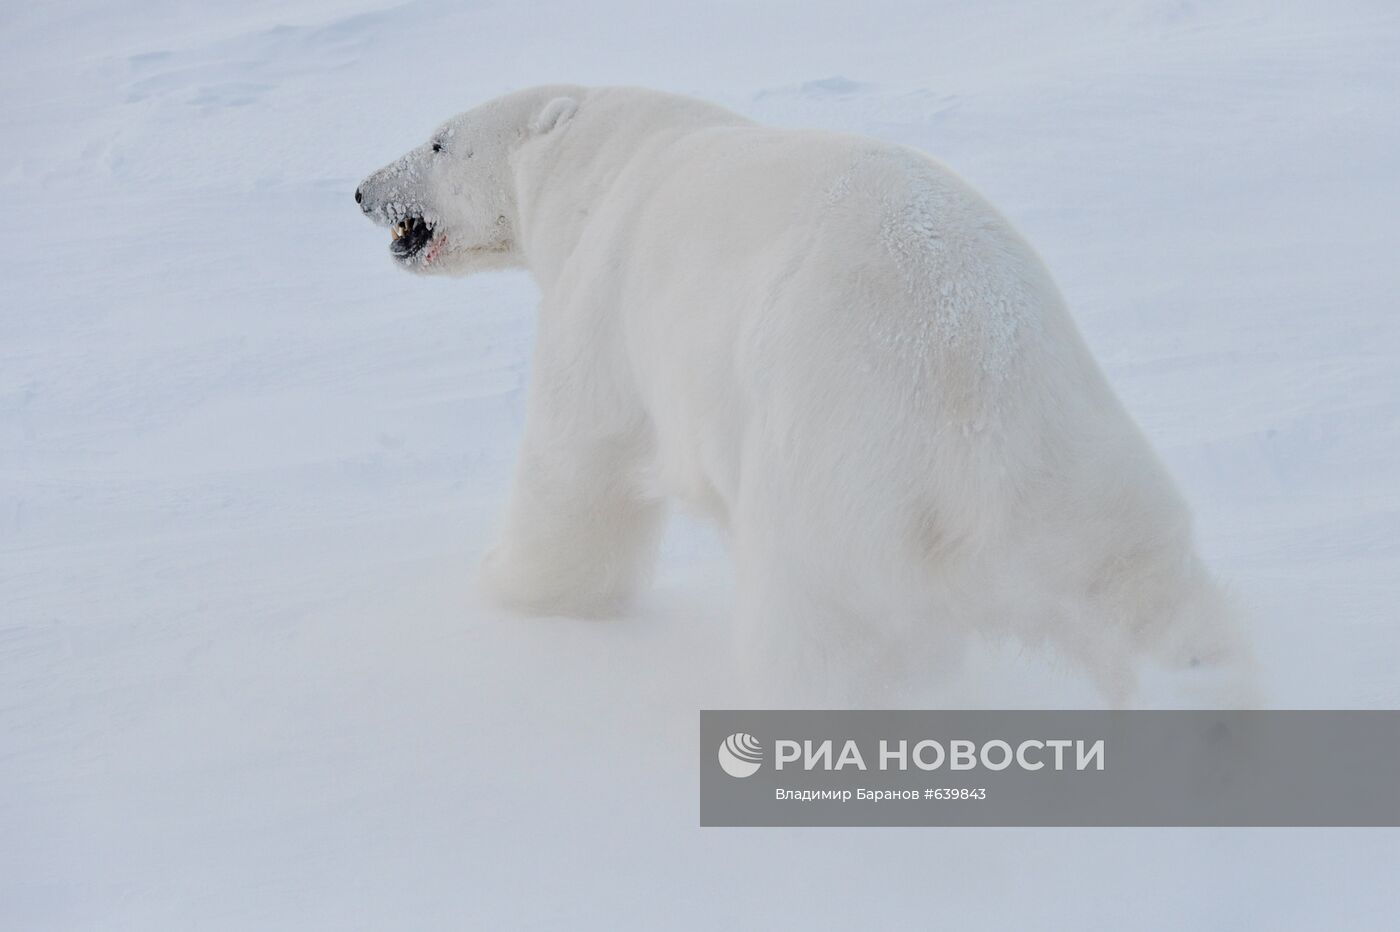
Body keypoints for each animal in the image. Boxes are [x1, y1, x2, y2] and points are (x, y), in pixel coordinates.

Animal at [355, 85, 1254, 705]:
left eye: (438, 142)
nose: (363, 191)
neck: (611, 156)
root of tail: (977, 439)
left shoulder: (608, 301)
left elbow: (577, 464)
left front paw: (510, 589)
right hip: (1084, 470)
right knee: (1157, 606)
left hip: (834, 500)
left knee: (828, 648)